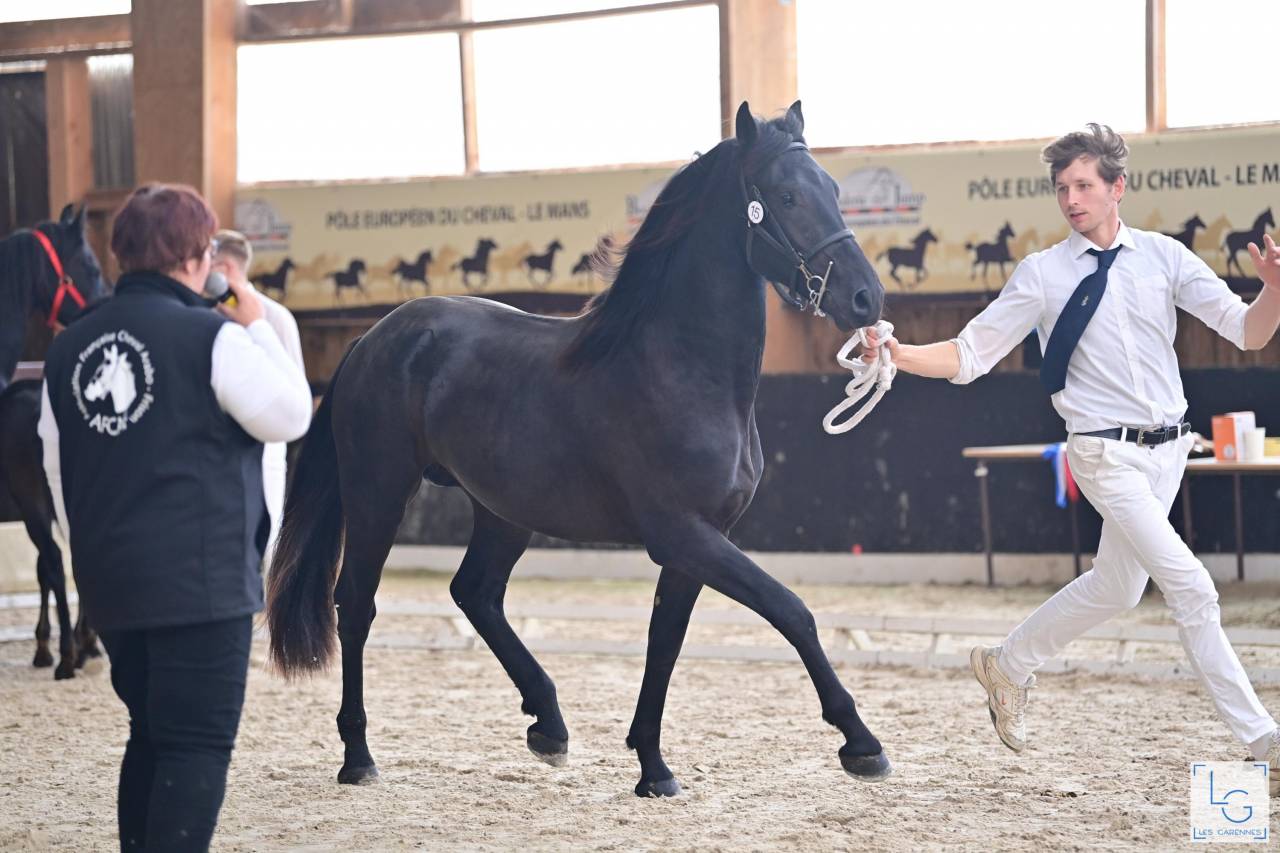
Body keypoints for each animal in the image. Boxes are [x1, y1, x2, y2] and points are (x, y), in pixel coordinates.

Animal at [266, 101, 889, 798]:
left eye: (834, 190)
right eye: (786, 196)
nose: (866, 298)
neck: (680, 367)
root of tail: (375, 338)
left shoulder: (697, 542)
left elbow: (665, 642)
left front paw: (653, 768)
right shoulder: (683, 535)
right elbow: (792, 611)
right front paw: (861, 744)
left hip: (503, 511)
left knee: (474, 593)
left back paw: (549, 725)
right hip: (378, 491)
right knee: (357, 604)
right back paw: (359, 756)